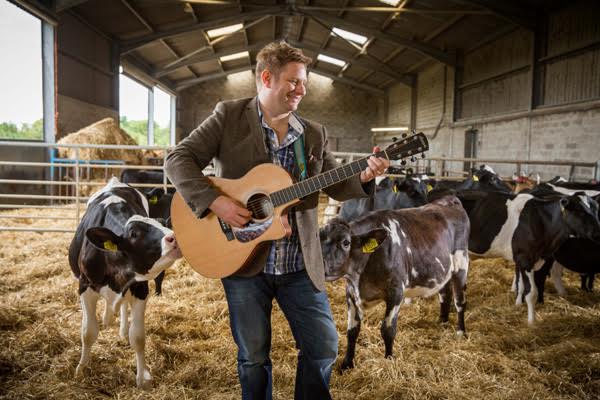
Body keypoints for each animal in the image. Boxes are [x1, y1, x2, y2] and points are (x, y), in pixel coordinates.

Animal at [68, 177, 180, 388]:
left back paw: (121, 330)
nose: (174, 237)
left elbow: (138, 337)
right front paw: (81, 369)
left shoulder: (140, 288)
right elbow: (88, 332)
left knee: (123, 306)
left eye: (162, 223)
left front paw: (142, 379)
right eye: (135, 233)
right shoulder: (85, 287)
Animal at [318, 196, 468, 368]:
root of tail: (449, 199)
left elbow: (388, 330)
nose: (316, 265)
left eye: (345, 242)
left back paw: (461, 332)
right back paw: (442, 322)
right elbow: (352, 331)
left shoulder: (396, 293)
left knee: (460, 301)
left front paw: (389, 359)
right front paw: (347, 364)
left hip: (461, 264)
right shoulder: (351, 293)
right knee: (445, 294)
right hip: (444, 271)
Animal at [460, 191, 600, 324]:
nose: (597, 233)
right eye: (579, 211)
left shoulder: (531, 260)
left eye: (596, 210)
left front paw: (518, 305)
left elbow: (521, 285)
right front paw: (531, 322)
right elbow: (532, 292)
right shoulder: (525, 258)